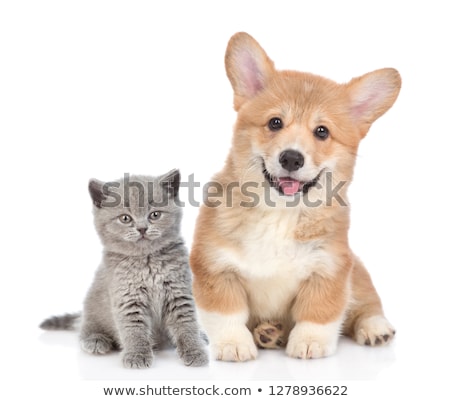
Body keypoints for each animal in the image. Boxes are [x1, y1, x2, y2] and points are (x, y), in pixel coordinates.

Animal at [39, 170, 208, 368]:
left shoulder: (179, 292)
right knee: (84, 328)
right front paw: (137, 354)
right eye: (125, 218)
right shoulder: (127, 297)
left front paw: (194, 350)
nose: (142, 228)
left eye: (155, 214)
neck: (147, 262)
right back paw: (95, 340)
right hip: (92, 307)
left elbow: (186, 324)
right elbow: (133, 329)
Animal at [190, 32, 400, 360]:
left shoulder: (329, 269)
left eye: (322, 132)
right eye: (275, 123)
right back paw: (267, 333)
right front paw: (233, 344)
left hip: (358, 273)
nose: (291, 158)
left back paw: (375, 328)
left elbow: (318, 312)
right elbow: (227, 314)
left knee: (366, 303)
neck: (279, 212)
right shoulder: (215, 267)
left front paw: (310, 342)